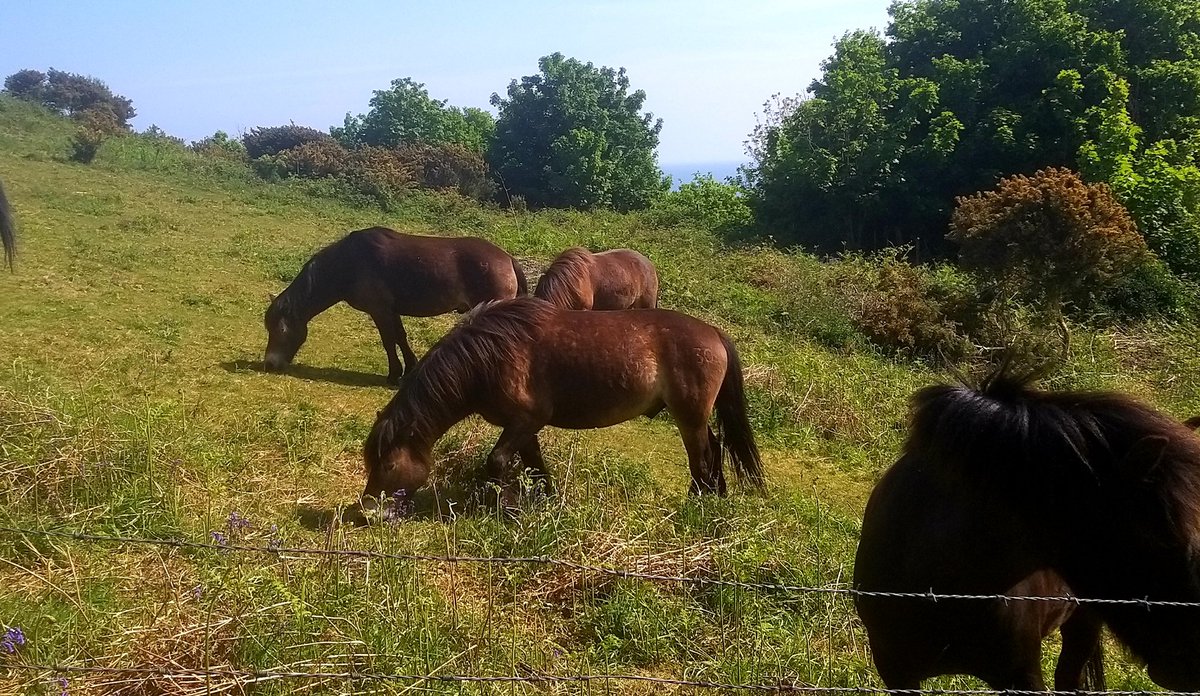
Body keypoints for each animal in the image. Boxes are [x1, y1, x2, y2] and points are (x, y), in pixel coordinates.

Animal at [262, 226, 525, 384]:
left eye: (280, 329)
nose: (269, 364)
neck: (349, 263)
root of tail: (508, 258)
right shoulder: (391, 310)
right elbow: (400, 336)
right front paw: (409, 369)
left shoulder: (379, 310)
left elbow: (388, 340)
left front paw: (393, 374)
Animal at [360, 296, 763, 508]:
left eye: (387, 464)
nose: (365, 512)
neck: (489, 356)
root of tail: (712, 332)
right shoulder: (524, 425)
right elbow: (534, 465)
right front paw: (546, 502)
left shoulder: (526, 420)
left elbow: (496, 462)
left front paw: (504, 507)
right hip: (695, 417)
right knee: (714, 448)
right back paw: (718, 500)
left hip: (689, 416)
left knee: (701, 459)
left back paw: (696, 506)